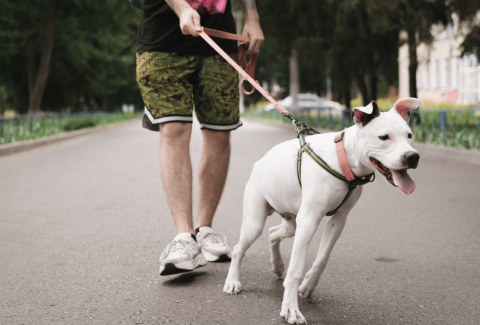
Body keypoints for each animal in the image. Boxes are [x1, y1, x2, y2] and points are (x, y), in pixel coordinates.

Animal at [223, 97, 418, 322]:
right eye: (384, 137)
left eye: (409, 135)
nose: (413, 156)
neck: (344, 159)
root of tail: (260, 162)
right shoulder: (309, 221)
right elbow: (296, 269)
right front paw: (290, 309)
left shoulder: (338, 220)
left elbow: (323, 257)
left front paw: (308, 284)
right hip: (255, 223)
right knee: (239, 248)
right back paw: (233, 282)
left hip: (291, 222)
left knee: (273, 233)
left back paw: (277, 264)